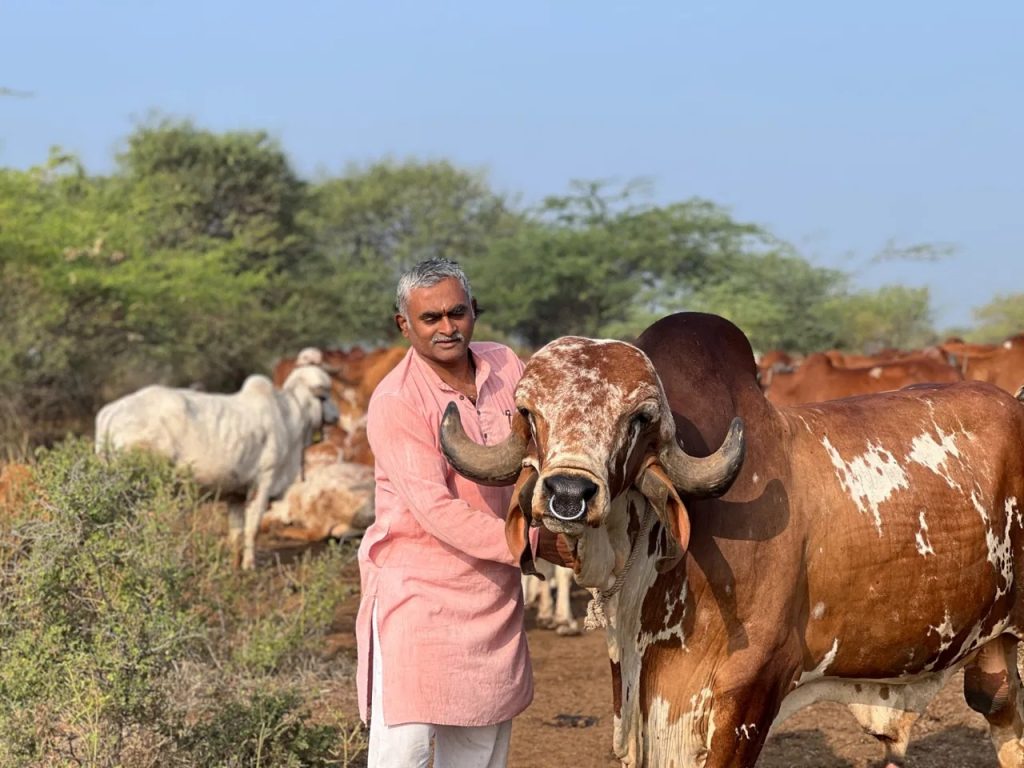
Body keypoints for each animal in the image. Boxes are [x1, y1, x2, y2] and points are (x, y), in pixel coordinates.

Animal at [95, 364, 335, 569]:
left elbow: (236, 531)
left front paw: (235, 565)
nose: (335, 415)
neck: (289, 416)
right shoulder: (264, 481)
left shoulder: (236, 493)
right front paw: (249, 565)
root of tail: (112, 412)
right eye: (325, 395)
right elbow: (252, 528)